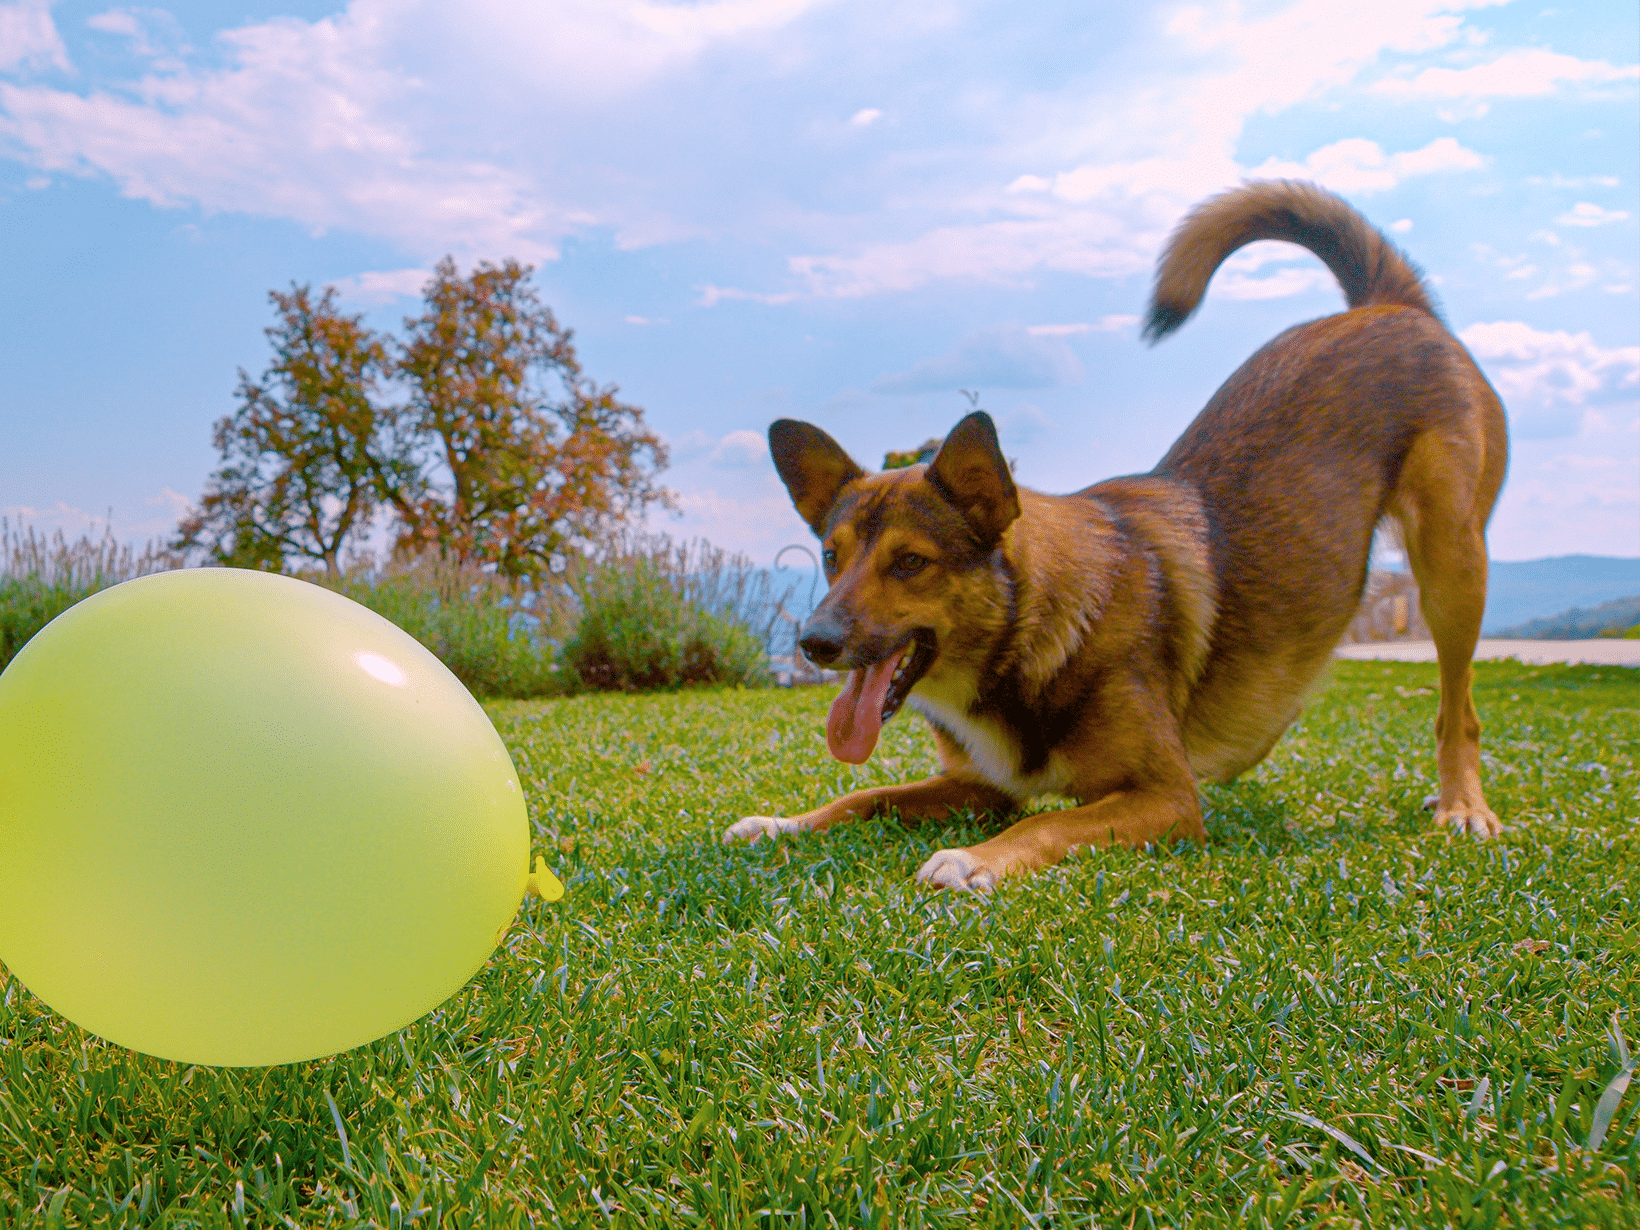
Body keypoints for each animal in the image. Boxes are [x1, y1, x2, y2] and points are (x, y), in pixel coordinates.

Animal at [728, 180, 1508, 898]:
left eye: (911, 562)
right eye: (832, 557)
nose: (814, 643)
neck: (1023, 637)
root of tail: (1389, 306)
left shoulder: (1166, 798)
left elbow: (1048, 820)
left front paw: (974, 861)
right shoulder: (982, 787)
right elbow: (867, 795)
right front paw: (784, 822)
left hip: (1451, 570)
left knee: (1459, 709)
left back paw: (1462, 805)